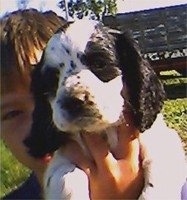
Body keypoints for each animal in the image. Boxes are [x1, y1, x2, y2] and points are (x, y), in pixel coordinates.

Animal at [24, 19, 165, 199]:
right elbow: (65, 174)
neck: (104, 132)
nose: (74, 101)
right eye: (52, 79)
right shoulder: (62, 158)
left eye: (99, 64)